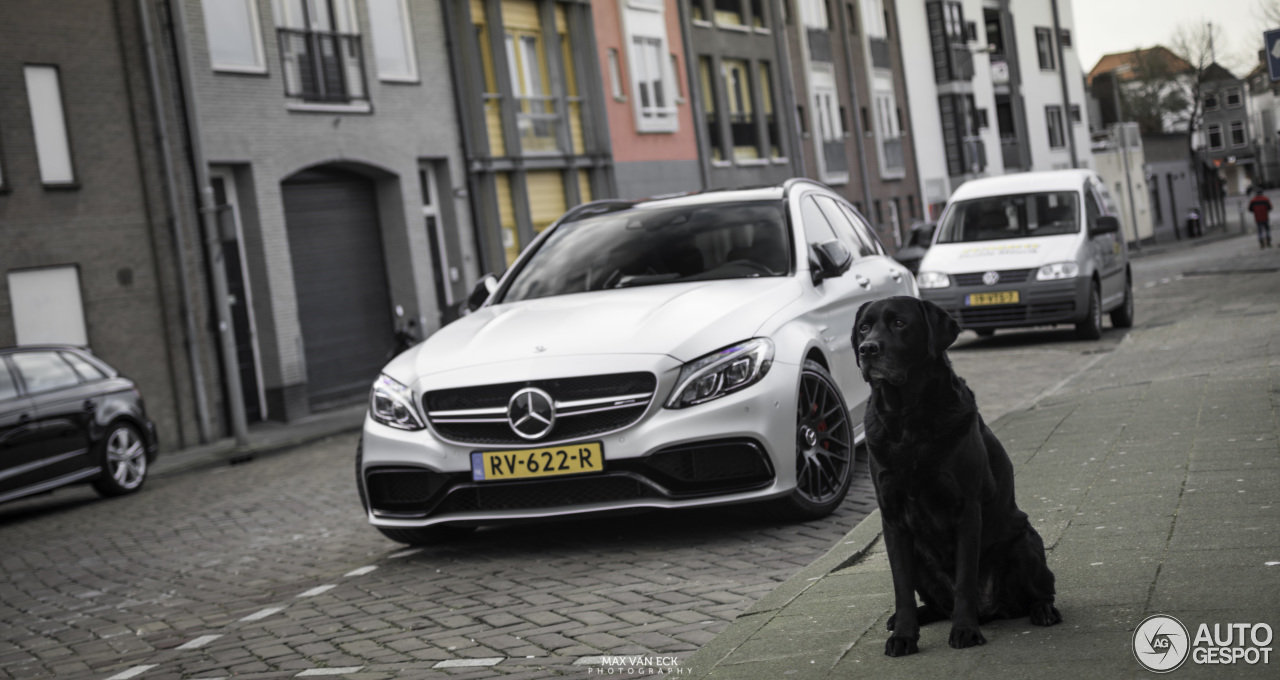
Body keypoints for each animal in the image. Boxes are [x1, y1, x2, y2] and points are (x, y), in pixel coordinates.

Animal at [849, 295, 1059, 655]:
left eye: (899, 323)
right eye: (864, 327)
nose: (867, 349)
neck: (906, 420)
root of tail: (994, 609)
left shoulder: (966, 508)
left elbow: (964, 579)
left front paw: (965, 630)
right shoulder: (892, 519)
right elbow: (901, 588)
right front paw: (903, 635)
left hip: (1025, 541)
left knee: (1043, 590)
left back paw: (1043, 611)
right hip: (920, 559)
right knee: (934, 604)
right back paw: (905, 619)